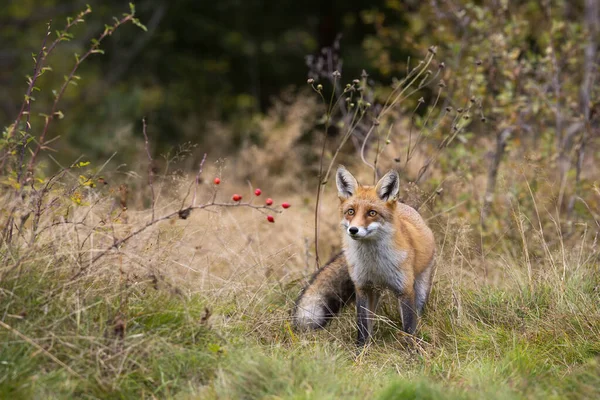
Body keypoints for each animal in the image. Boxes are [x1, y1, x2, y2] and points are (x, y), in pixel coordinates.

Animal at [296, 167, 436, 346]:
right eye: (351, 212)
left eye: (372, 213)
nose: (353, 230)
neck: (374, 263)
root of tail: (406, 207)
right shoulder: (362, 287)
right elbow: (362, 328)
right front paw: (361, 351)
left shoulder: (405, 289)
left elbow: (409, 329)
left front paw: (412, 350)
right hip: (374, 292)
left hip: (420, 287)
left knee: (417, 311)